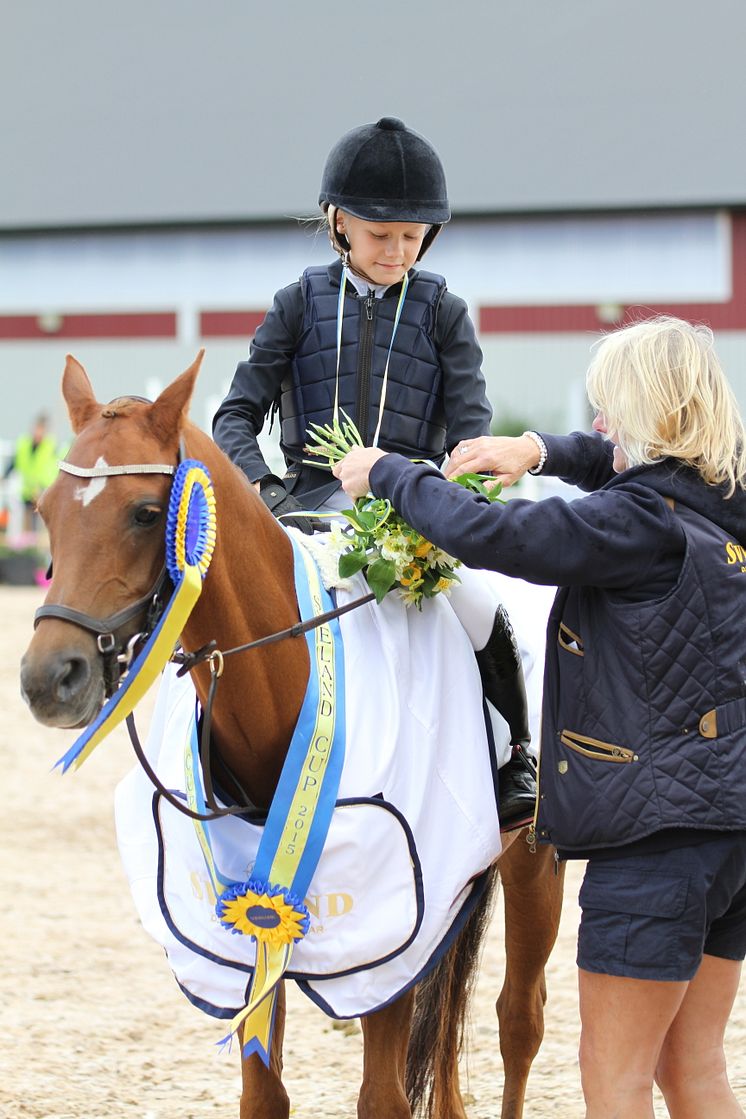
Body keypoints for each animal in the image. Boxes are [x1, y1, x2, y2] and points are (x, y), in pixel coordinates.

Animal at [20, 355, 563, 1119]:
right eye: (45, 512)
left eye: (146, 513)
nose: (50, 678)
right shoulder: (252, 929)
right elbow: (265, 1094)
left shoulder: (386, 934)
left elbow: (383, 1097)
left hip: (533, 860)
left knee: (520, 1020)